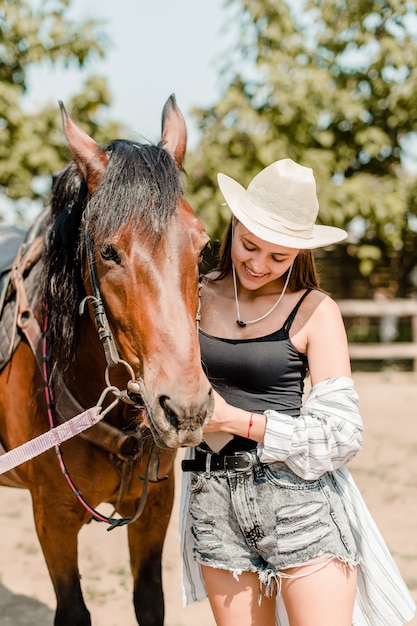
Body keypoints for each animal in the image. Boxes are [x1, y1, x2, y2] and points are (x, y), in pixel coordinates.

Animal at [0, 95, 213, 620]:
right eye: (108, 252)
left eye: (203, 248)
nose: (186, 408)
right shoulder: (52, 519)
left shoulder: (155, 508)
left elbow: (149, 601)